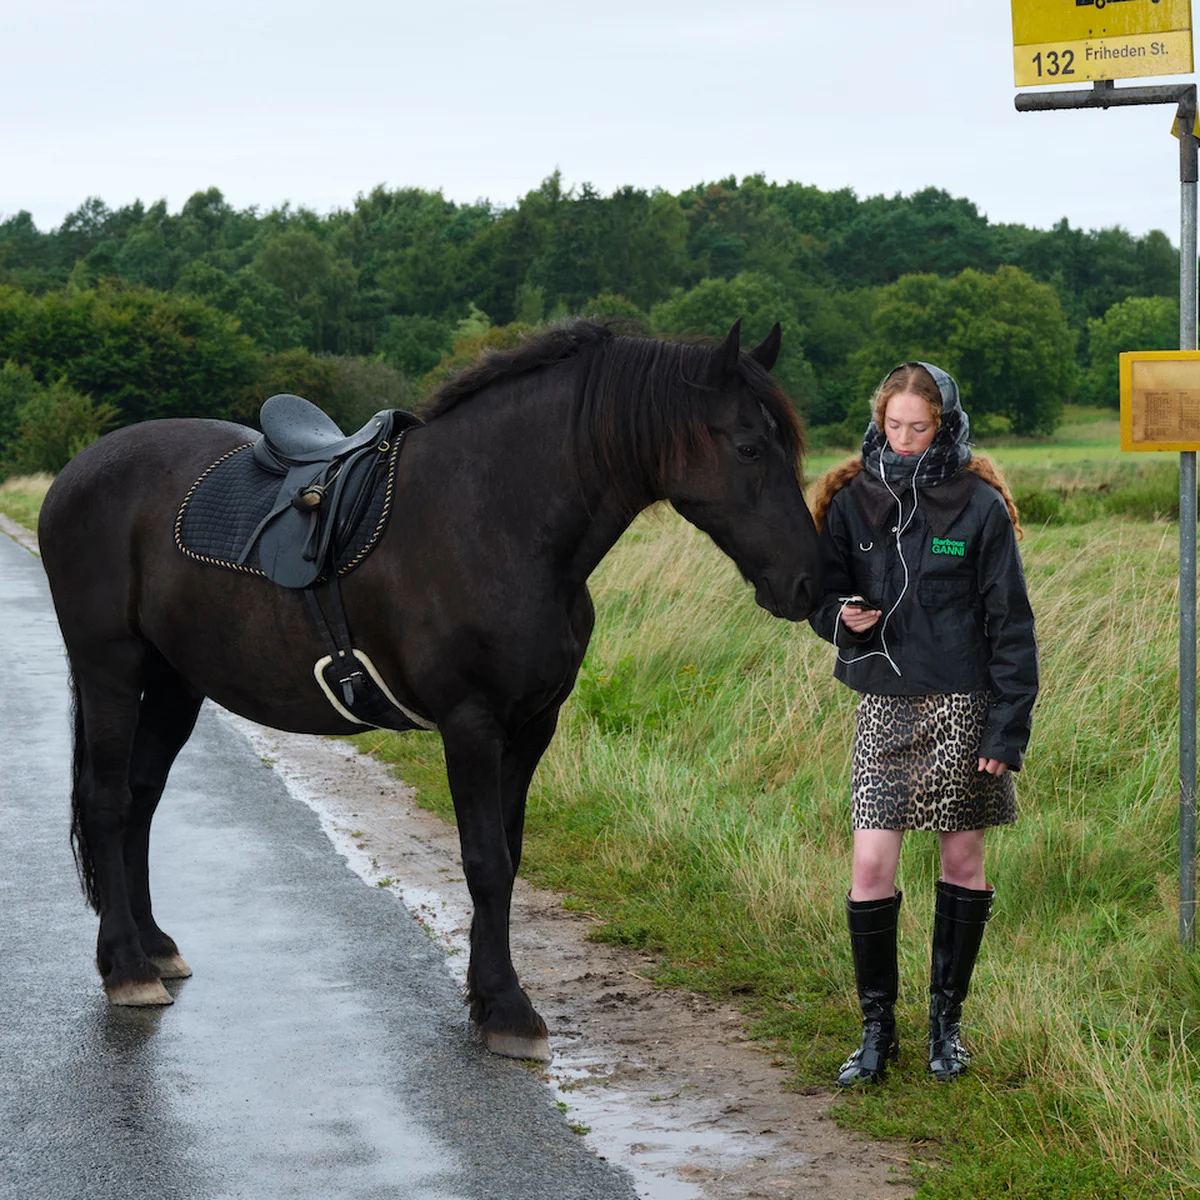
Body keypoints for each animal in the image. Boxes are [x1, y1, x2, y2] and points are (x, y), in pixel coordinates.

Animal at [39, 319, 825, 1060]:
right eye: (749, 447)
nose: (809, 585)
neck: (493, 519)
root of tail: (78, 472)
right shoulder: (471, 723)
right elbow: (485, 861)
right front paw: (508, 1010)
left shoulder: (532, 725)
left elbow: (508, 853)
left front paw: (485, 996)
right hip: (111, 668)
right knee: (109, 802)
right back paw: (127, 968)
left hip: (176, 682)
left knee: (141, 798)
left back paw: (155, 946)